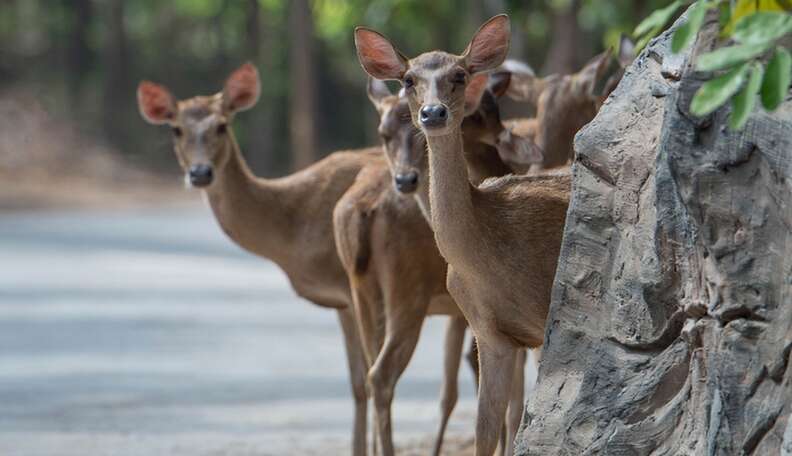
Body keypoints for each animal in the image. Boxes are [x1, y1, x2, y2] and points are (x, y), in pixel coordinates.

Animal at [136, 63, 384, 456]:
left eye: (222, 125)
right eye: (175, 129)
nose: (200, 173)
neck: (295, 228)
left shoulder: (355, 285)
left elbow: (370, 376)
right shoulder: (343, 301)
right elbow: (358, 383)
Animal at [356, 15, 572, 456]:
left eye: (459, 74)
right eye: (408, 78)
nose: (432, 112)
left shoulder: (549, 316)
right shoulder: (489, 332)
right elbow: (486, 430)